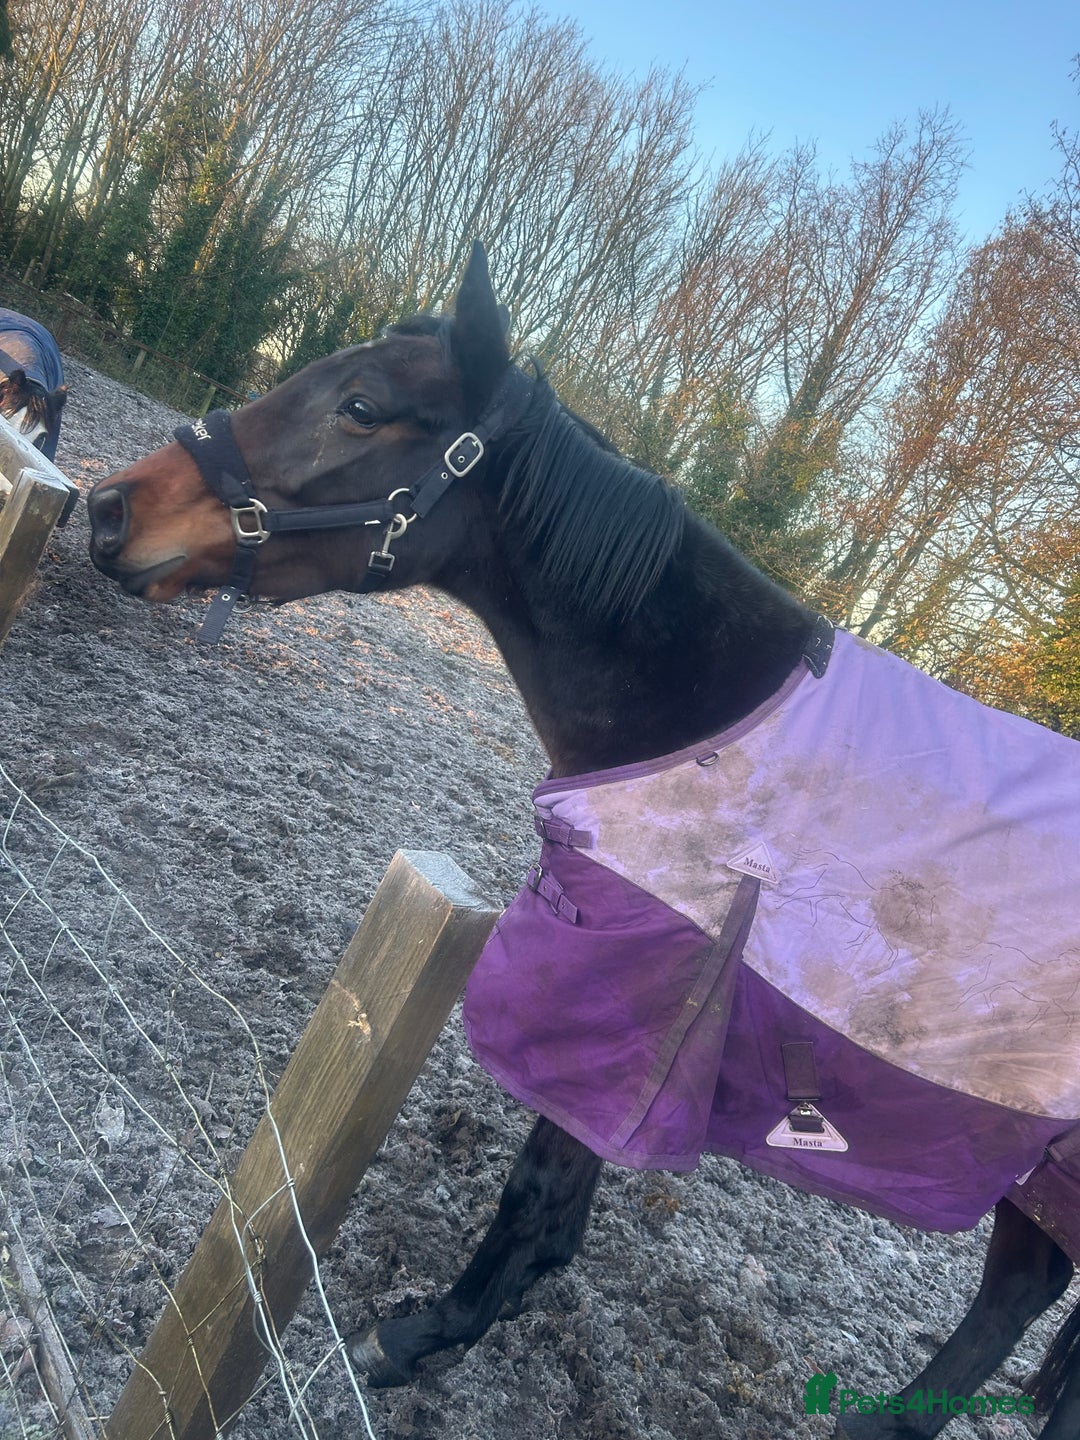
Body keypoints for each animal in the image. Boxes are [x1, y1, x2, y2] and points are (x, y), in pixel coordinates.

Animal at [86, 242, 1080, 1438]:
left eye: (361, 405)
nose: (108, 509)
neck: (700, 714)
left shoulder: (641, 992)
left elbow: (539, 1190)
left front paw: (426, 1333)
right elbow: (565, 1197)